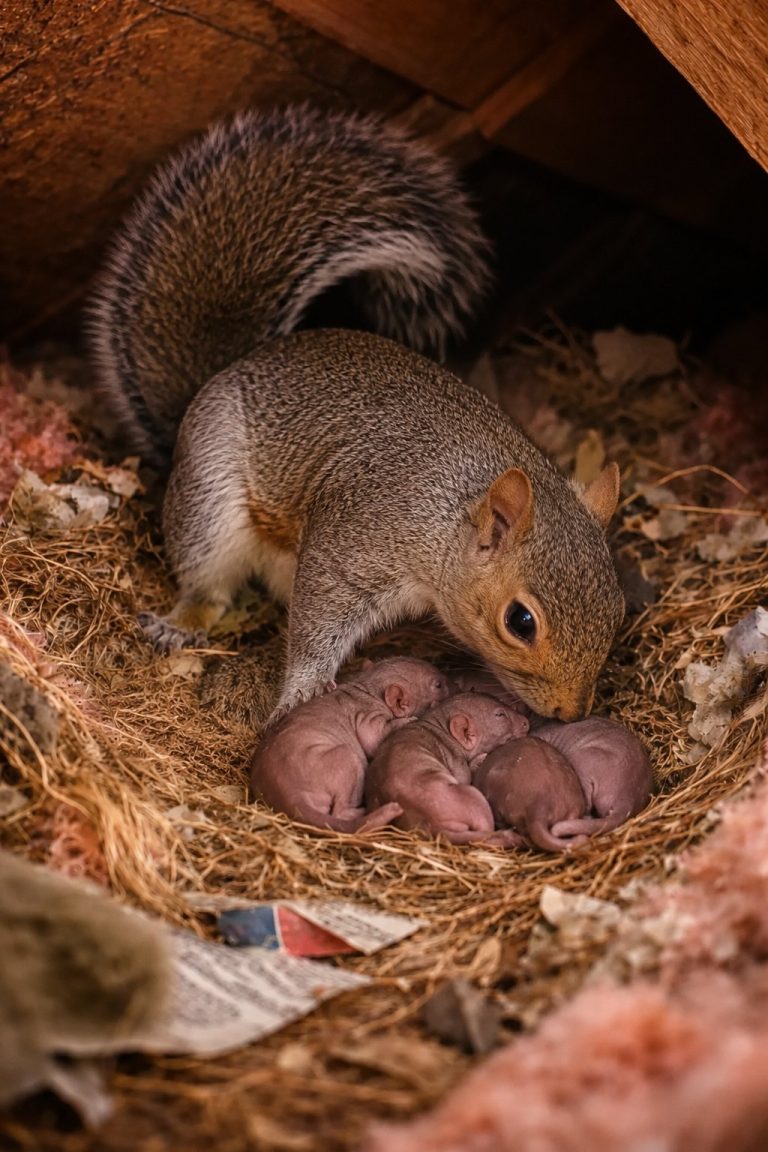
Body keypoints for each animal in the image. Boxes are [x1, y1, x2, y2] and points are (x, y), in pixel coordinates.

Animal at [89, 104, 624, 723]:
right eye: (521, 622)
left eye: (618, 607)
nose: (571, 712)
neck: (448, 515)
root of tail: (233, 367)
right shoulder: (355, 542)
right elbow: (317, 616)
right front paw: (302, 690)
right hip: (209, 495)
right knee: (206, 581)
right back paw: (182, 622)